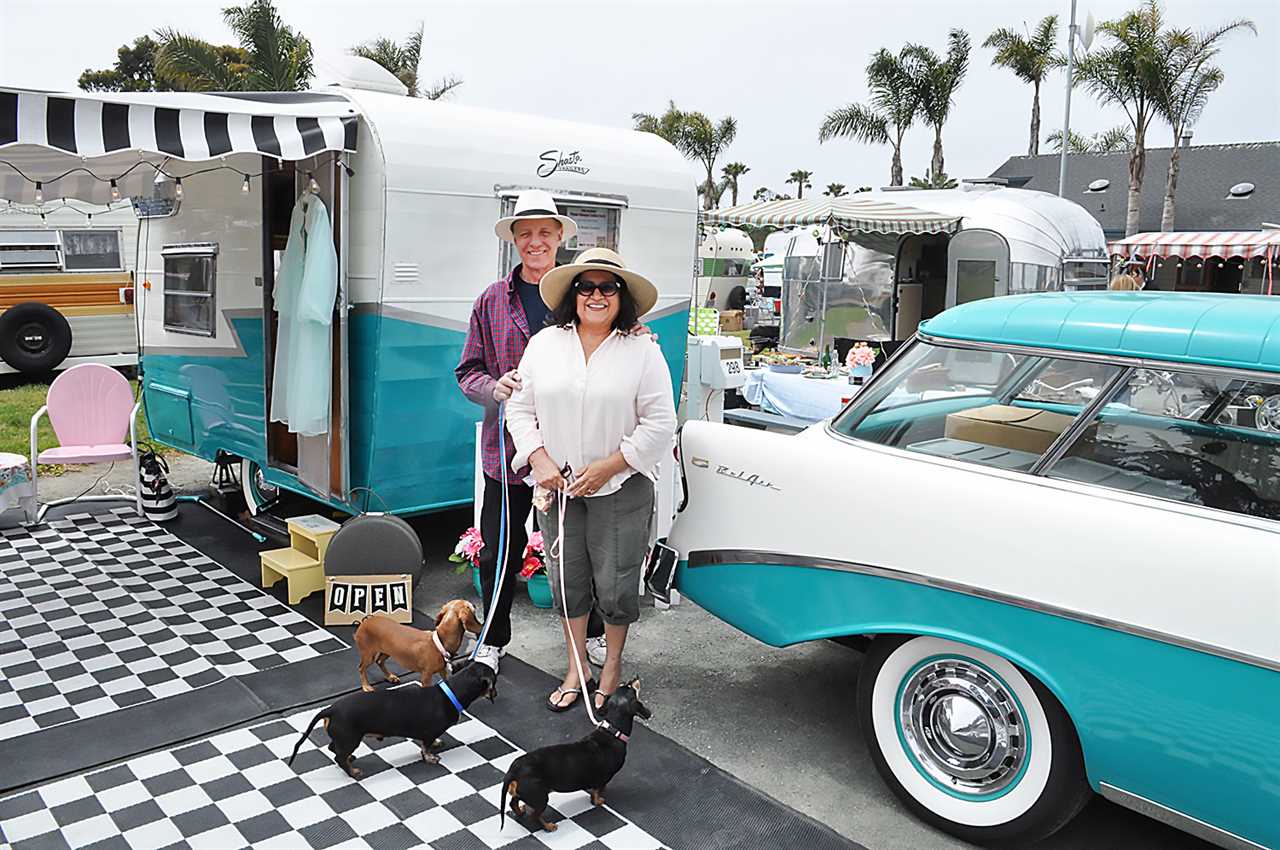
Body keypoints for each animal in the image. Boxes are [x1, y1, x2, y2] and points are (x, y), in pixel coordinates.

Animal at [288, 660, 496, 778]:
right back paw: (353, 771)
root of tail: (330, 709)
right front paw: (430, 757)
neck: (450, 692)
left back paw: (350, 759)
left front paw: (436, 744)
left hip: (344, 737)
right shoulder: (428, 732)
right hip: (351, 738)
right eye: (495, 678)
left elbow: (429, 742)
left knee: (334, 748)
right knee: (338, 755)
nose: (495, 693)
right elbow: (425, 747)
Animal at [501, 675, 655, 829]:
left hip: (524, 793)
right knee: (534, 816)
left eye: (624, 685)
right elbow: (597, 791)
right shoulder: (604, 778)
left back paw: (520, 811)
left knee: (513, 802)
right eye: (631, 688)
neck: (613, 732)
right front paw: (598, 801)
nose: (635, 677)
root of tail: (515, 769)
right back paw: (549, 826)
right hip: (540, 797)